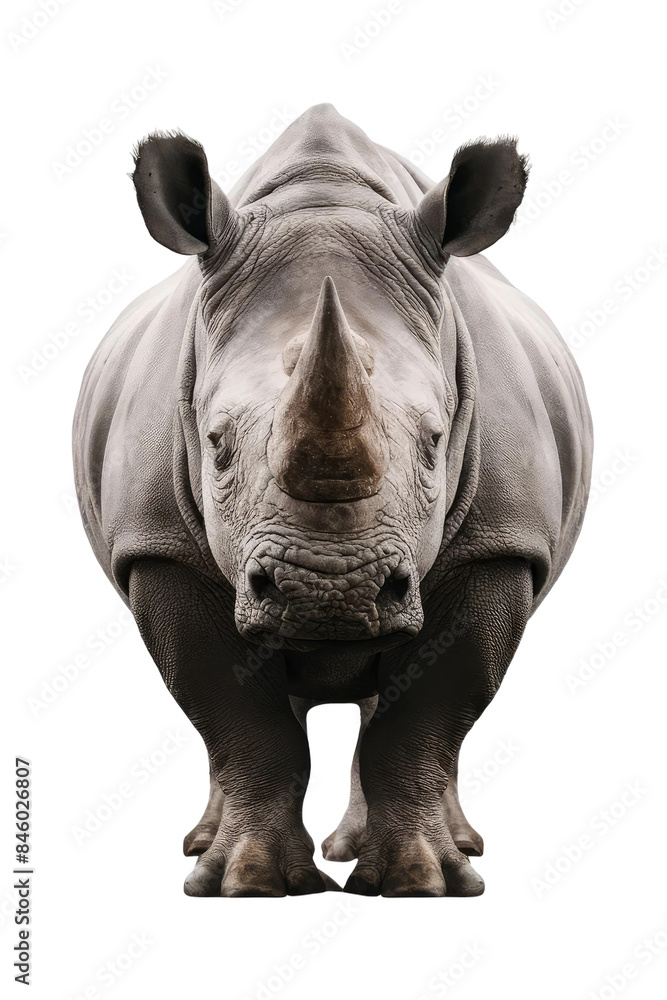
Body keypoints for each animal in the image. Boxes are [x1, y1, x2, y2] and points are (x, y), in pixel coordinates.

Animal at [73, 103, 592, 897]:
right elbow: (236, 717)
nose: (330, 593)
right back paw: (204, 844)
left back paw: (441, 847)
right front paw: (247, 883)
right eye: (215, 443)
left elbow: (427, 715)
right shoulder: (158, 549)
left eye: (436, 440)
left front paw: (420, 884)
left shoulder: (500, 544)